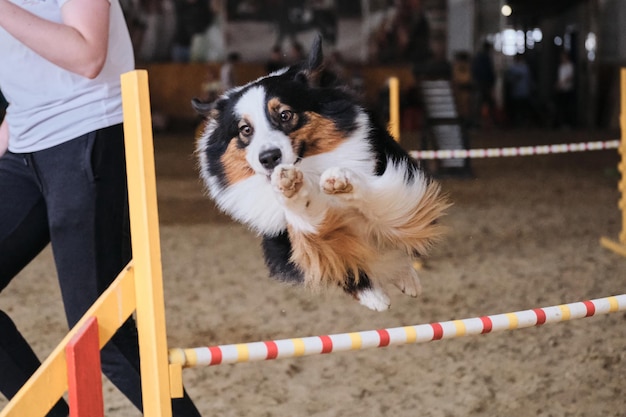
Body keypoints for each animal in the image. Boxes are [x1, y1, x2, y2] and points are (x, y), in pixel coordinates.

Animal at [191, 35, 448, 308]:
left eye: (285, 115)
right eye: (245, 130)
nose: (269, 158)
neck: (309, 170)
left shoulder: (401, 182)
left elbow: (379, 206)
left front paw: (343, 182)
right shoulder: (285, 242)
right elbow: (311, 228)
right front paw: (290, 189)